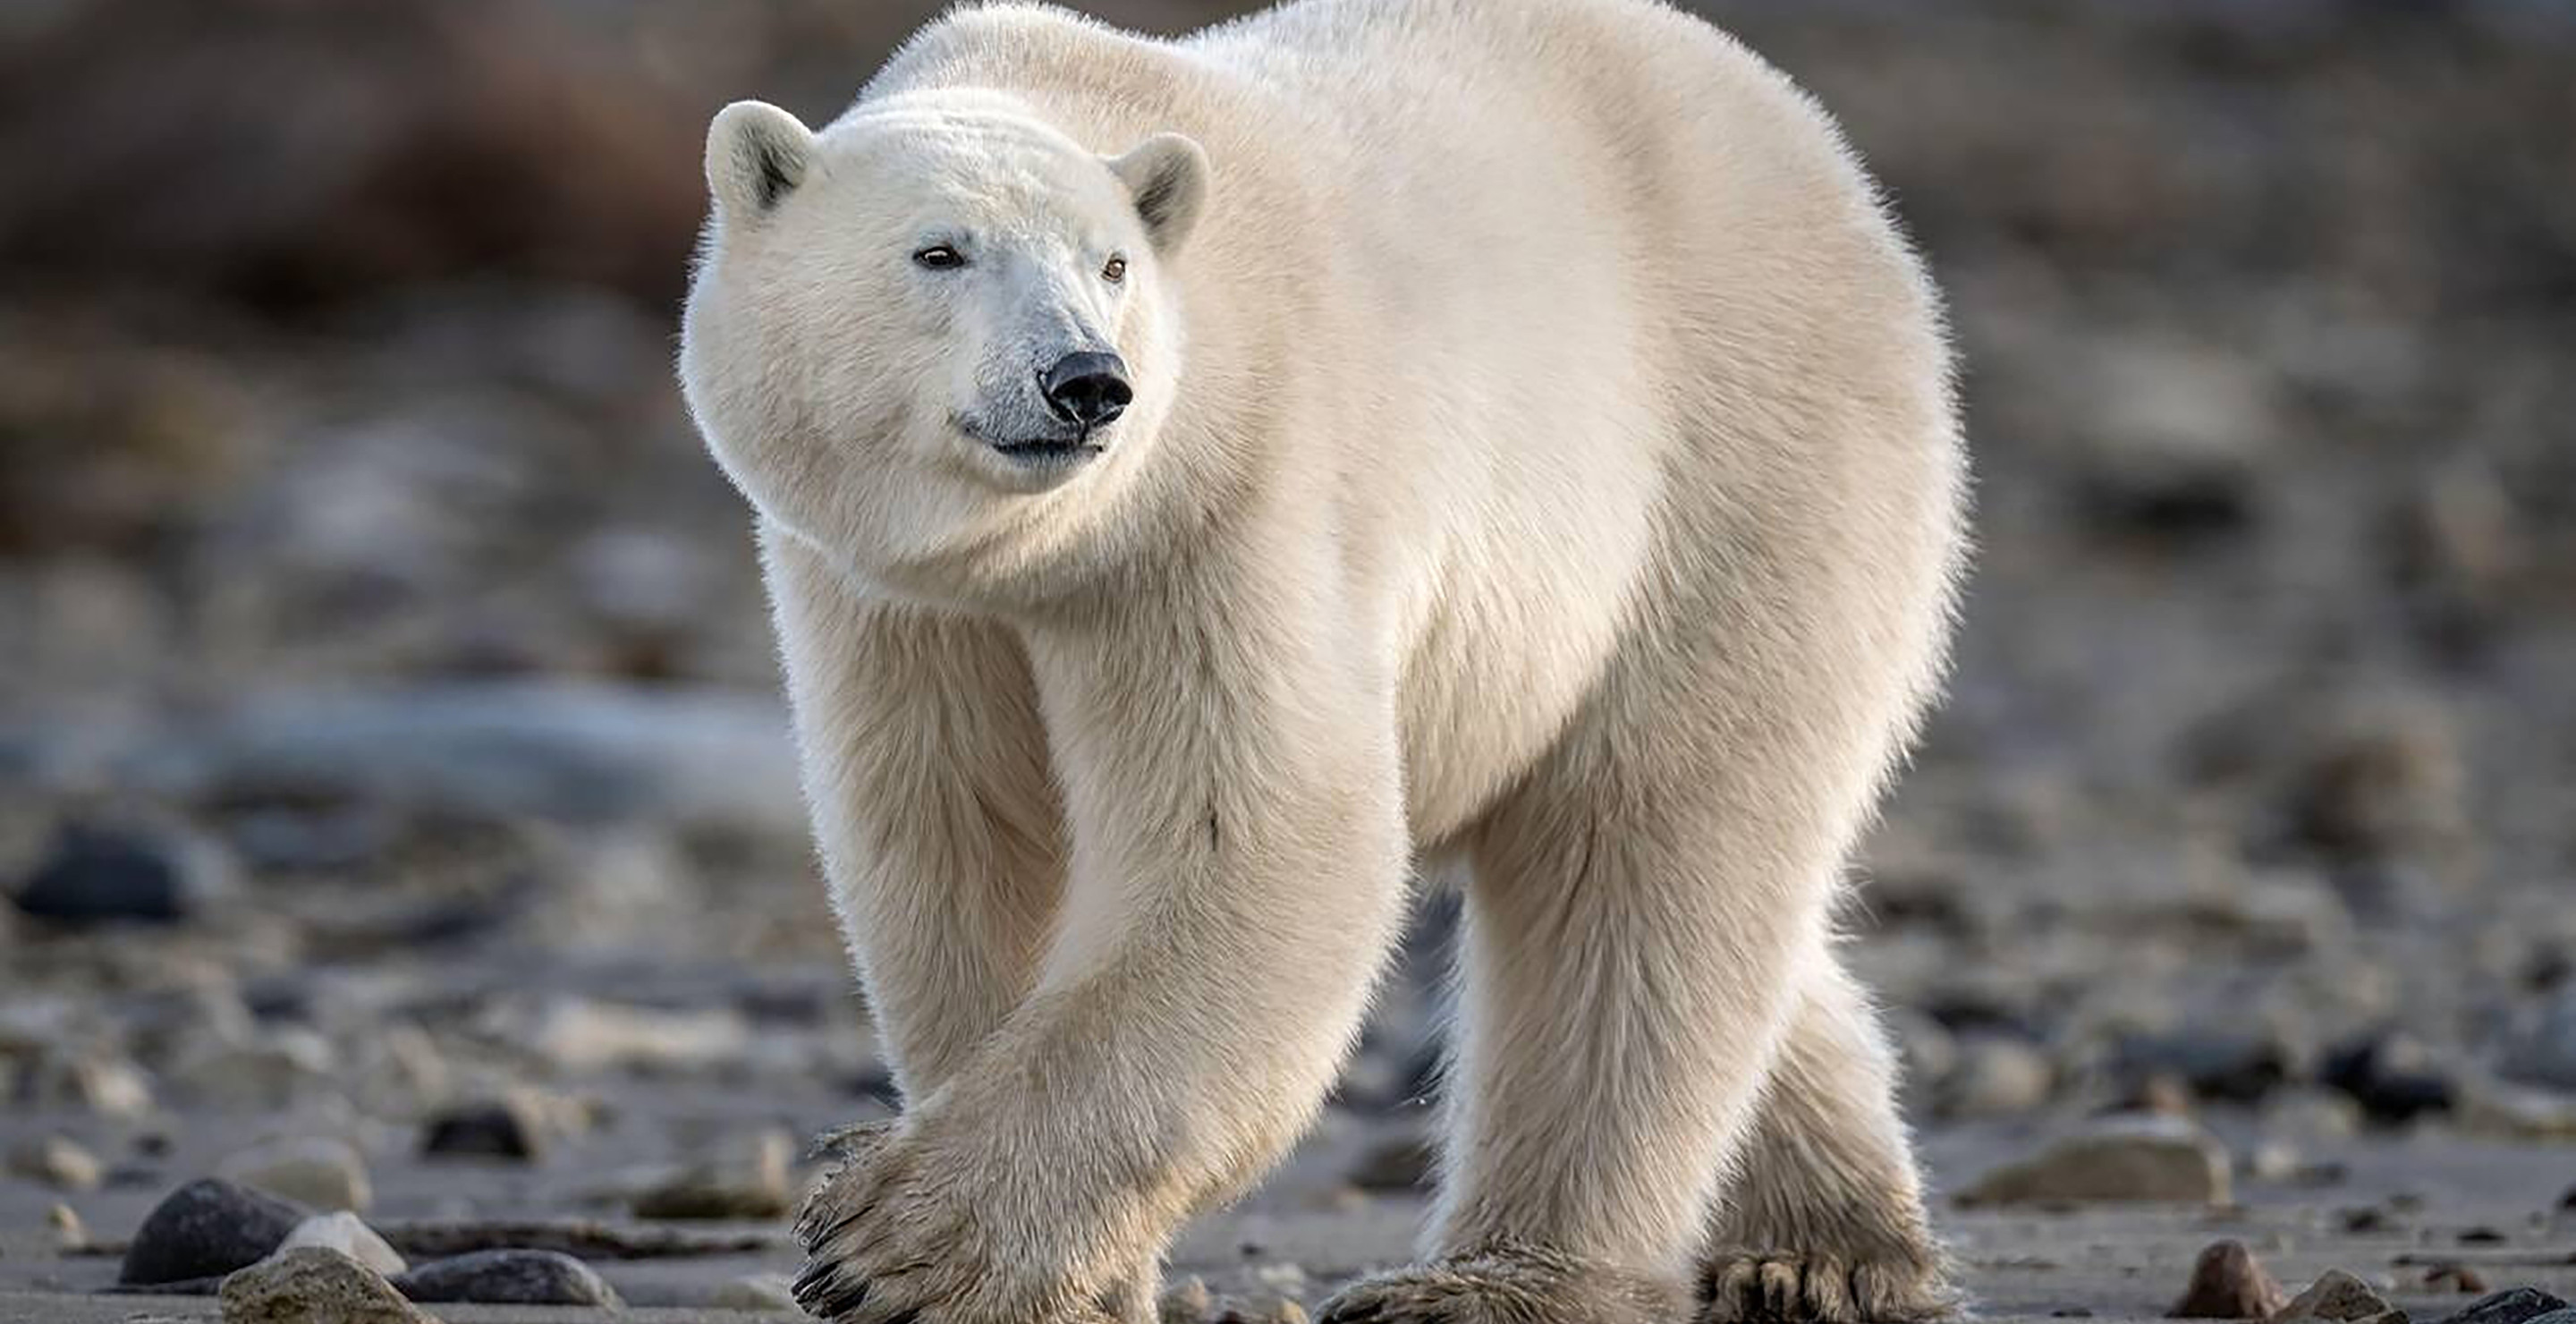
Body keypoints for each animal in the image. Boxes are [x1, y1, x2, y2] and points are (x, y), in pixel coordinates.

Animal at [674, 0, 1957, 1313]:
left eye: (1110, 265)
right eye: (938, 253)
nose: (1085, 382)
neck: (1040, 554)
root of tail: (1825, 160)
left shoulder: (1224, 506)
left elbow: (1261, 843)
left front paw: (896, 1243)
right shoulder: (890, 602)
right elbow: (956, 836)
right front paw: (1061, 1274)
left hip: (1737, 468)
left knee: (1645, 857)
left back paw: (1504, 1282)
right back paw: (1822, 1244)